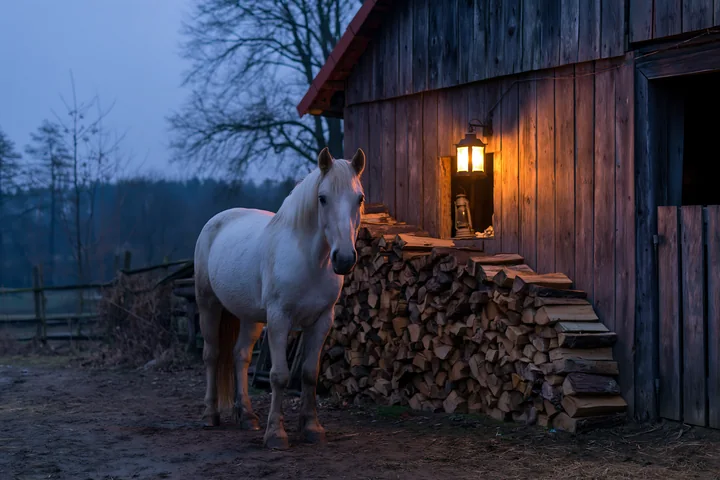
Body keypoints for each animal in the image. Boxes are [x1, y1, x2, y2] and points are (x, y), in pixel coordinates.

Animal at [193, 147, 366, 450]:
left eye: (360, 198)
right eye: (322, 198)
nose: (344, 259)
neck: (309, 260)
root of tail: (216, 221)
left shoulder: (322, 321)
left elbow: (309, 373)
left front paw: (312, 428)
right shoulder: (279, 319)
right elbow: (279, 376)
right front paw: (276, 434)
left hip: (250, 318)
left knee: (240, 356)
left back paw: (247, 416)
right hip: (209, 306)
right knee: (212, 355)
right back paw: (210, 415)